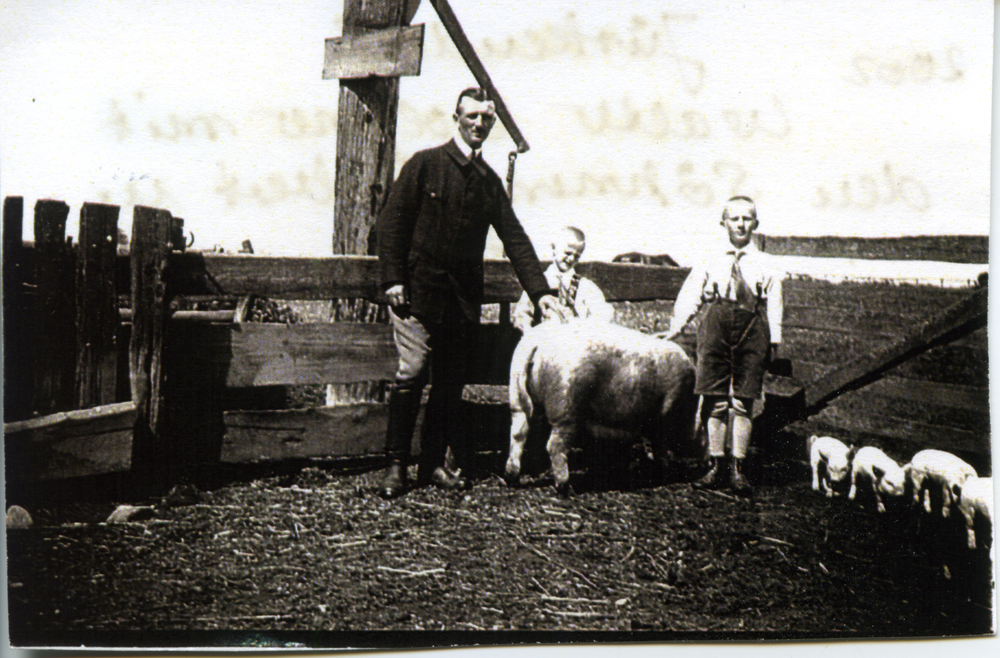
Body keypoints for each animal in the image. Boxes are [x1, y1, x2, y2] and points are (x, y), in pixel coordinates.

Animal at [504, 316, 700, 492]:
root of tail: (537, 342)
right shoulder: (665, 414)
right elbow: (660, 447)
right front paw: (665, 473)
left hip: (516, 394)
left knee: (518, 434)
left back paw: (511, 479)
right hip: (565, 406)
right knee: (555, 445)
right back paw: (566, 488)